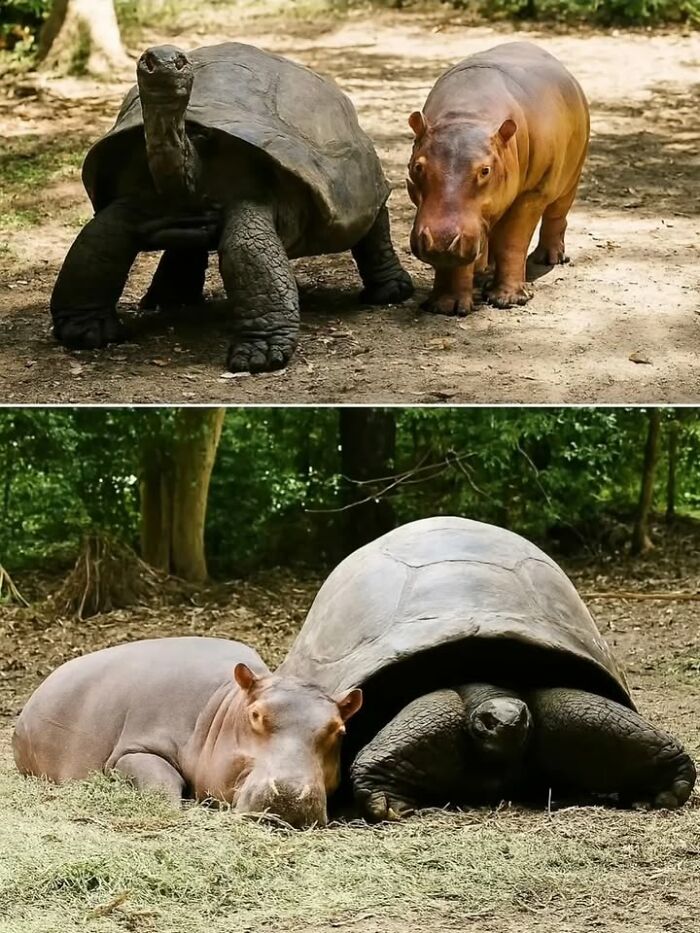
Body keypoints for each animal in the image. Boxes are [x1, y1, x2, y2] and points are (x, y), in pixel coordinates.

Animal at [12, 637, 362, 828]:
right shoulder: (136, 745)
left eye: (340, 730)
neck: (225, 706)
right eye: (255, 715)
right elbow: (161, 777)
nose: (290, 793)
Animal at [407, 42, 589, 315]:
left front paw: (507, 300)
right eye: (418, 166)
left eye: (485, 170)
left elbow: (512, 242)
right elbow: (458, 259)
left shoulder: (531, 193)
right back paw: (485, 270)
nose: (439, 242)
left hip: (570, 177)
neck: (467, 116)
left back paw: (549, 258)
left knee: (557, 214)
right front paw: (447, 306)